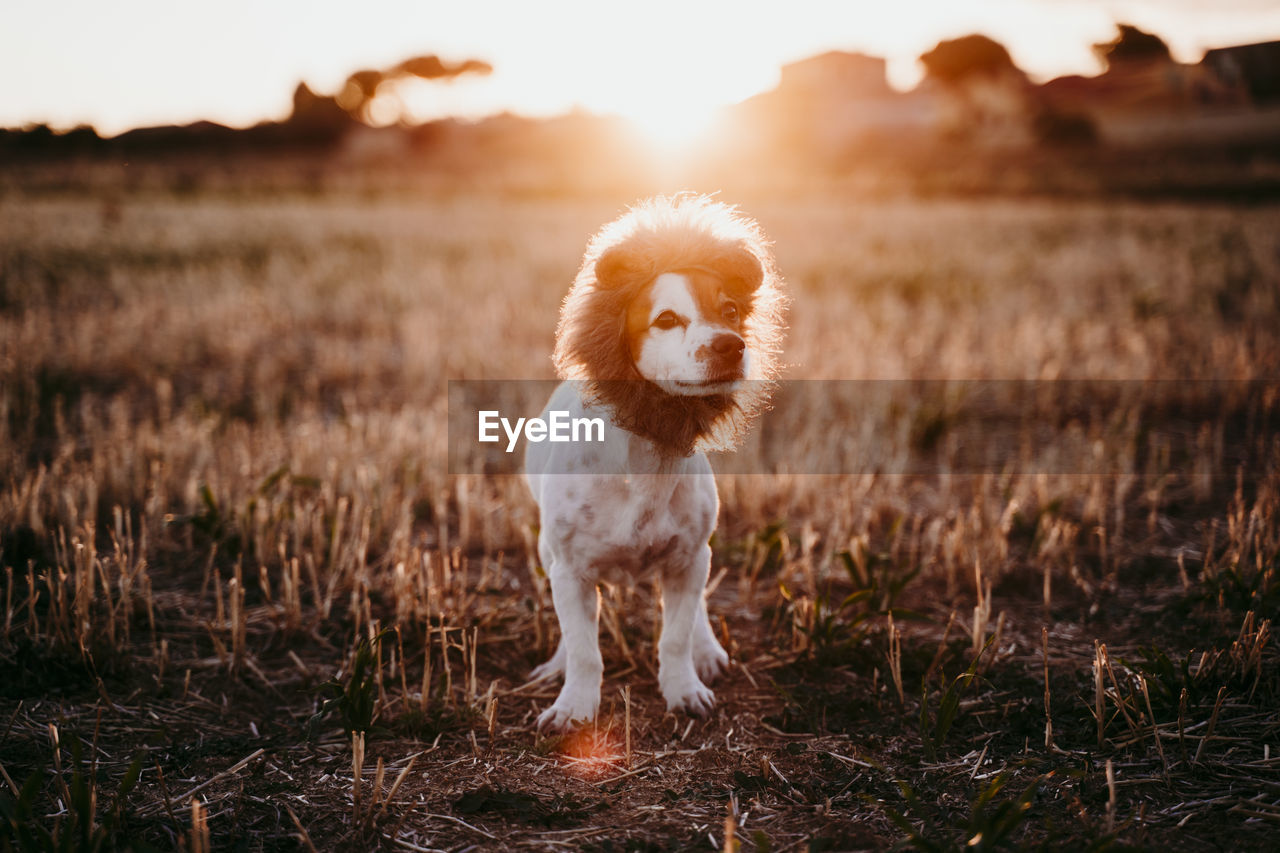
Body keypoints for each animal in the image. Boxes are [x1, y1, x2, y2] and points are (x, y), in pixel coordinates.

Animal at [522, 195, 783, 727]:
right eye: (665, 320)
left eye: (730, 310)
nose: (732, 345)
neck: (646, 454)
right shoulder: (570, 571)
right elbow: (584, 649)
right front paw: (574, 706)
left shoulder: (687, 560)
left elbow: (676, 636)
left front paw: (684, 688)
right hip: (547, 554)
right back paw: (556, 666)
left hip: (698, 554)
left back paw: (707, 652)